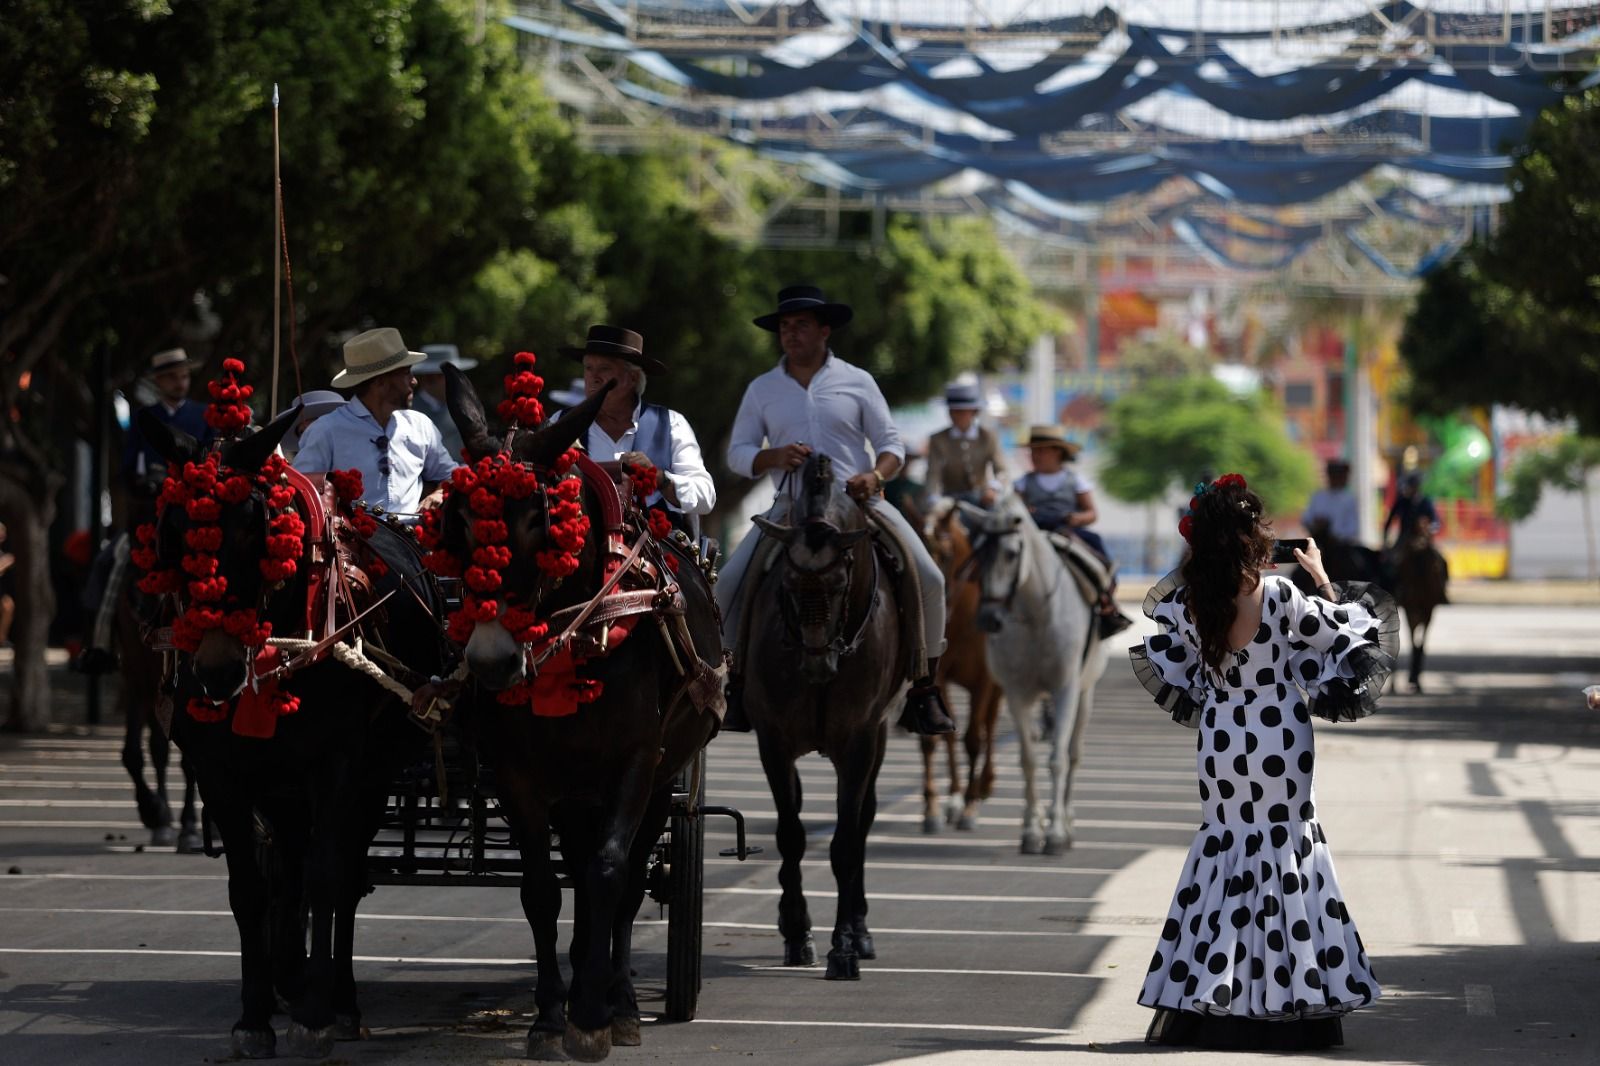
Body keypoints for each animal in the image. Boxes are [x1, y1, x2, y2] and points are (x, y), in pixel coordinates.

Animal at [960, 492, 1100, 851]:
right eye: (977, 554)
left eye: (1011, 554)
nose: (989, 620)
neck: (1037, 614)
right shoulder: (1017, 693)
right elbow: (1028, 760)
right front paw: (1031, 831)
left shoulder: (1066, 689)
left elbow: (1058, 759)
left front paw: (1056, 832)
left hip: (1085, 692)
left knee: (1074, 753)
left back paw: (1067, 819)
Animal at [1401, 512, 1452, 688]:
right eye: (1414, 530)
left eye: (1428, 534)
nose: (1419, 544)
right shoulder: (1410, 610)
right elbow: (1413, 642)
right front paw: (1412, 677)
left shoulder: (1429, 611)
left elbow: (1421, 644)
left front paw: (1416, 678)